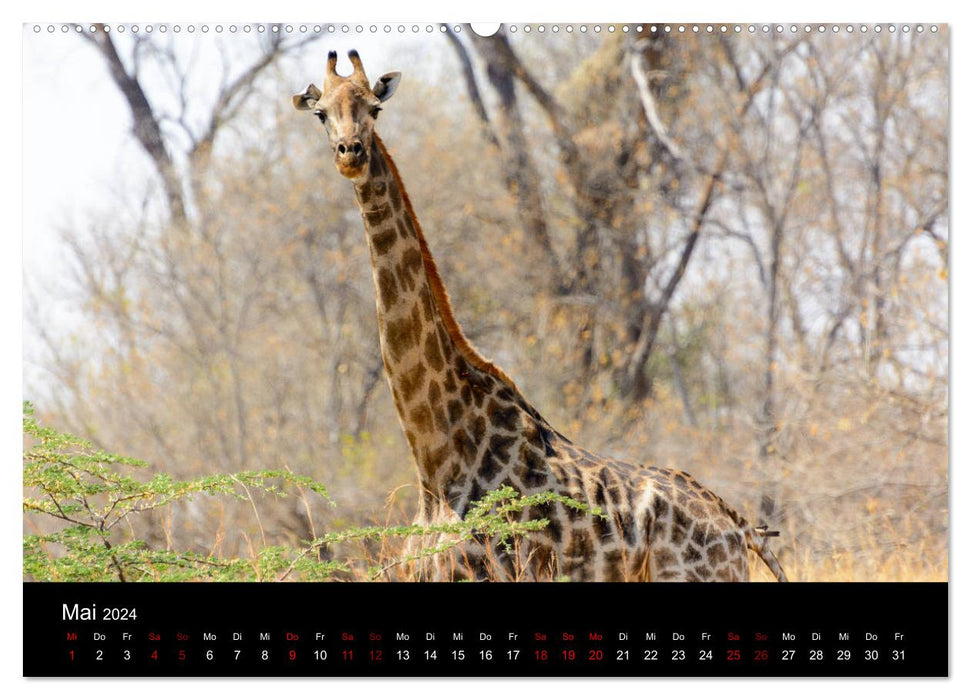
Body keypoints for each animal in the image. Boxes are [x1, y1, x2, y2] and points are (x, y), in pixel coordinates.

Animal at [292, 52, 784, 584]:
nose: (350, 153)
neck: (436, 456)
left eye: (375, 109)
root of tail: (738, 524)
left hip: (700, 576)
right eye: (321, 114)